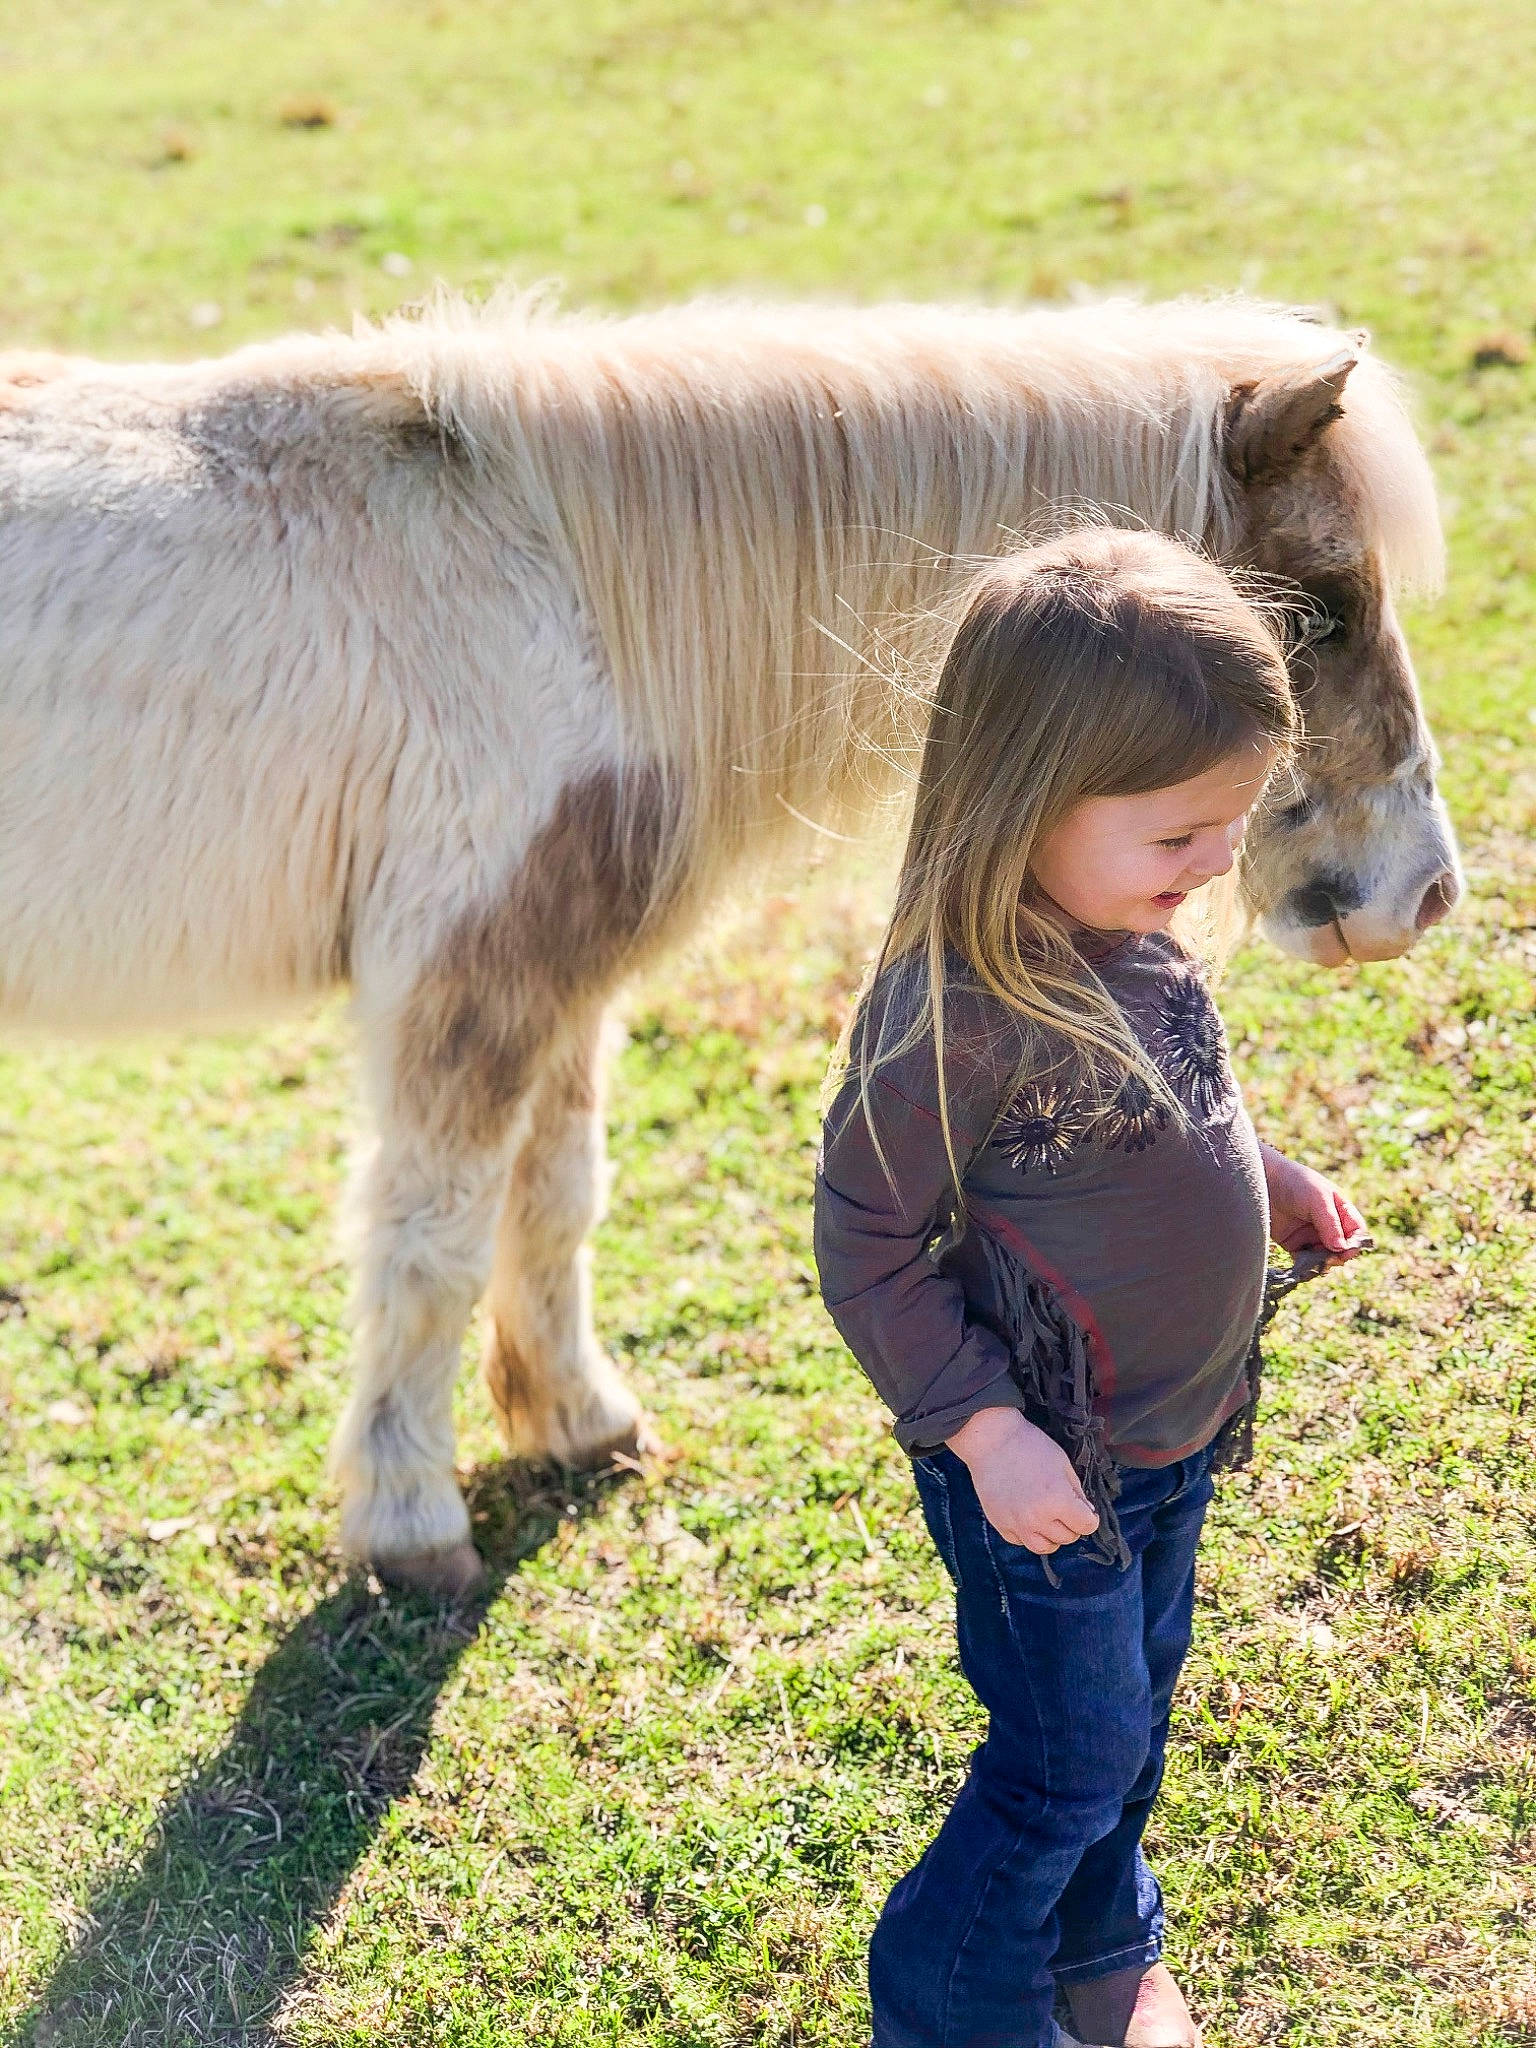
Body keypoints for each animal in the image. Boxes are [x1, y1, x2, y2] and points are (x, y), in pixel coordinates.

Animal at [0, 294, 1460, 1594]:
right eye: (1322, 605)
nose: (1424, 894)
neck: (568, 595)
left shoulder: (559, 975)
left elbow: (556, 1198)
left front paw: (581, 1424)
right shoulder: (466, 978)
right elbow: (431, 1243)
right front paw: (412, 1530)